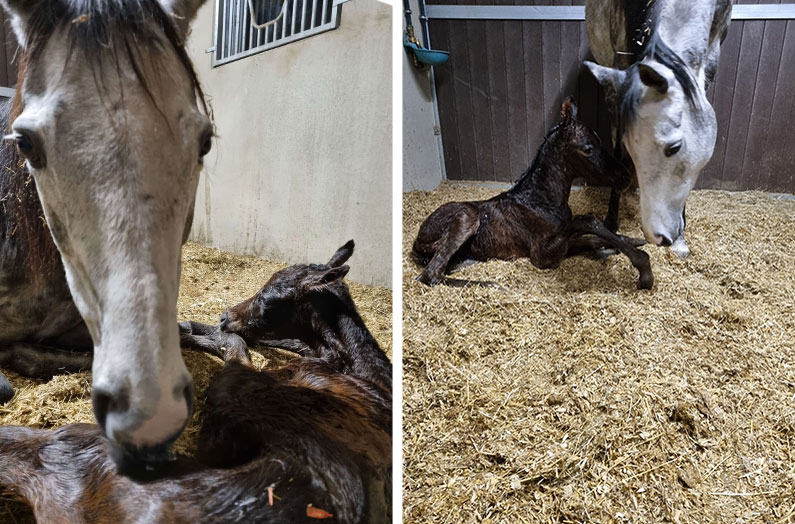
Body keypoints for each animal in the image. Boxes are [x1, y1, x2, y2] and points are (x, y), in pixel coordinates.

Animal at [0, 243, 392, 524]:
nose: (226, 314)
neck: (361, 372)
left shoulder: (243, 387)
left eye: (268, 301)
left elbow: (234, 344)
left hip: (77, 445)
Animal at [410, 96, 652, 288]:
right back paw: (493, 285)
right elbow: (588, 222)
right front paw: (643, 266)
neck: (541, 200)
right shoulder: (543, 256)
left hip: (465, 255)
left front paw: (630, 243)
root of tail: (417, 240)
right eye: (588, 148)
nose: (626, 176)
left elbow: (591, 238)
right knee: (430, 274)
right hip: (465, 217)